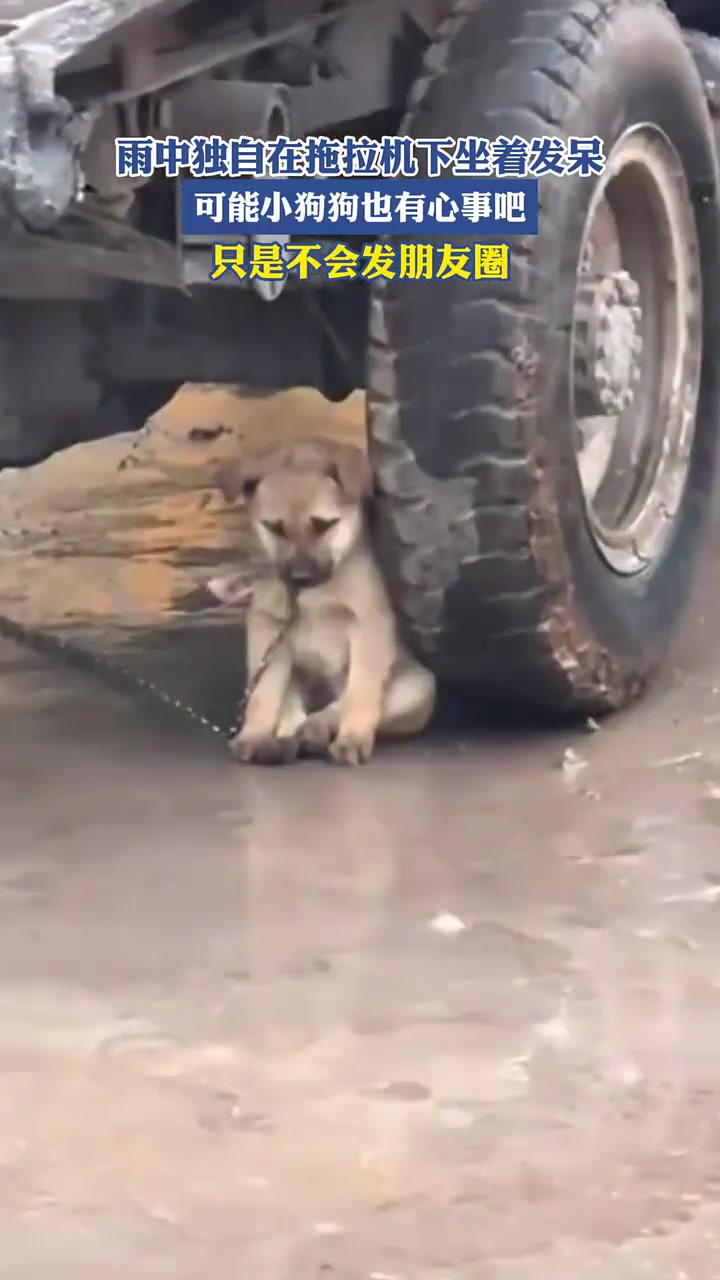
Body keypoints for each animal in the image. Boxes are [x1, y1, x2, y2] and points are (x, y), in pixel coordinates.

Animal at [212, 435, 435, 762]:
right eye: (274, 527)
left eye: (324, 525)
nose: (300, 578)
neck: (313, 596)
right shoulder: (267, 629)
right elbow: (263, 693)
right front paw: (254, 733)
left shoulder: (369, 626)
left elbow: (361, 693)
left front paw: (353, 736)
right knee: (292, 709)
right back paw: (286, 738)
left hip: (417, 687)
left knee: (344, 705)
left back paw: (318, 728)